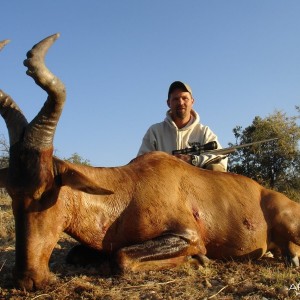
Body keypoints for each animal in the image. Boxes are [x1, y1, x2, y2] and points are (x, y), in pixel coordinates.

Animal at [0, 33, 300, 290]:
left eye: (46, 190)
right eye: (11, 191)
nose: (26, 279)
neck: (128, 188)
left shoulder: (187, 235)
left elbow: (122, 258)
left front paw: (199, 260)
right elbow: (81, 253)